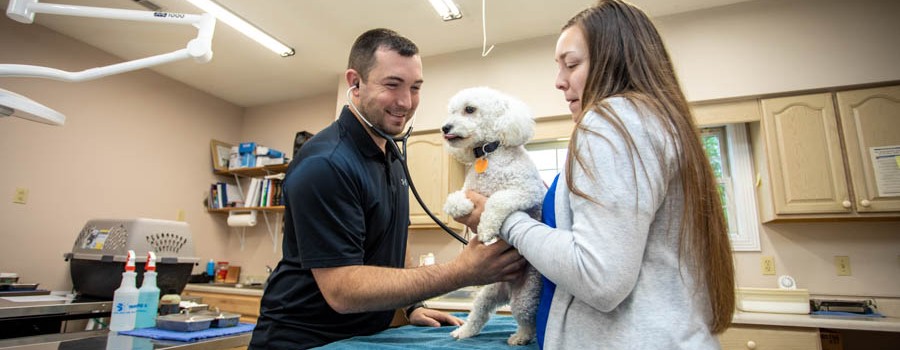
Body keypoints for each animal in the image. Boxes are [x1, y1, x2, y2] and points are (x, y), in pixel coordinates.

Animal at [442, 87, 544, 344]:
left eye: (469, 109)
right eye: (452, 111)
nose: (445, 127)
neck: (489, 152)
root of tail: (507, 289)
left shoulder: (528, 190)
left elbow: (498, 200)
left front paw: (487, 227)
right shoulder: (468, 188)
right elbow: (452, 200)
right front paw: (463, 206)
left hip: (525, 297)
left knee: (528, 322)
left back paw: (520, 337)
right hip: (489, 292)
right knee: (479, 312)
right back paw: (464, 331)